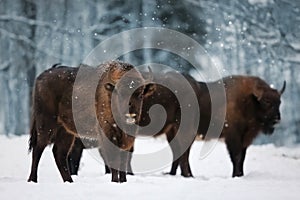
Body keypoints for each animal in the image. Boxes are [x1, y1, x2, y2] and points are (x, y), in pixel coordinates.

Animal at [27, 61, 155, 183]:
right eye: (119, 93)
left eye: (140, 94)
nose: (130, 113)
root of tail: (40, 78)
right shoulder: (107, 134)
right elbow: (113, 159)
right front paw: (115, 181)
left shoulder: (127, 139)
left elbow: (123, 160)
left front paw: (123, 182)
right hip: (46, 124)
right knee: (38, 149)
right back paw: (33, 179)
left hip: (65, 131)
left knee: (59, 153)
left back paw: (69, 181)